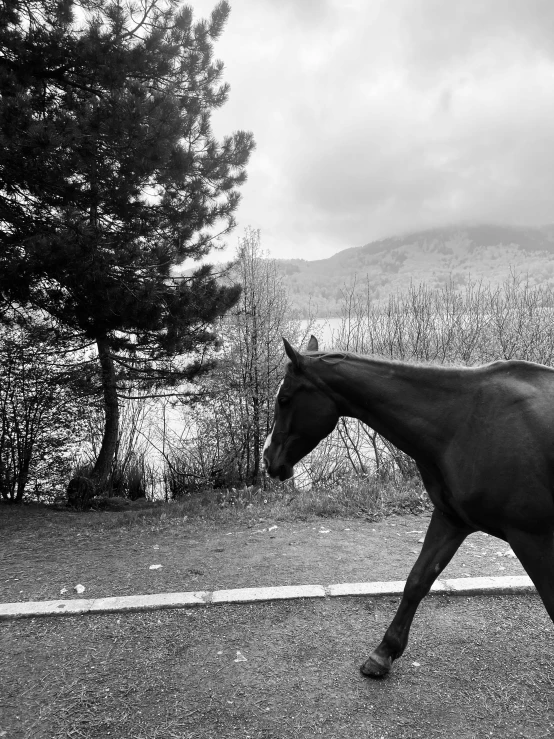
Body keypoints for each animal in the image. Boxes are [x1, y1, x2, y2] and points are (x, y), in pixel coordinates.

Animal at [260, 338, 552, 680]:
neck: (465, 422)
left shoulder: (532, 538)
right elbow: (417, 580)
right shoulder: (451, 519)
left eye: (285, 399)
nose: (268, 458)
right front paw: (383, 653)